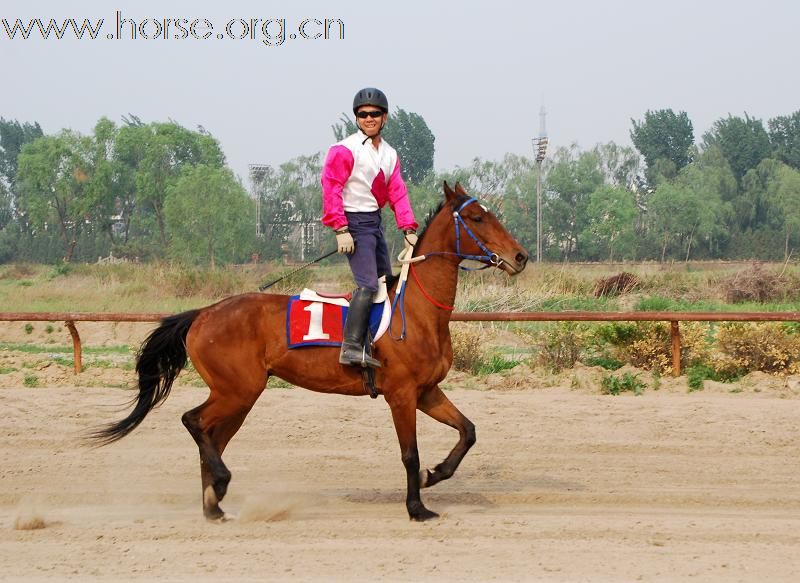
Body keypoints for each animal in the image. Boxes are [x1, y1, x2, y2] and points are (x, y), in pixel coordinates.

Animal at [94, 181, 528, 520]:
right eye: (477, 218)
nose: (520, 256)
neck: (417, 313)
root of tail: (203, 313)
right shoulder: (401, 395)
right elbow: (410, 454)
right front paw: (417, 507)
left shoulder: (426, 392)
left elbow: (468, 431)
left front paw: (435, 475)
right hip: (237, 390)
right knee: (193, 421)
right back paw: (220, 484)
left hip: (239, 396)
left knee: (212, 437)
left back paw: (213, 504)